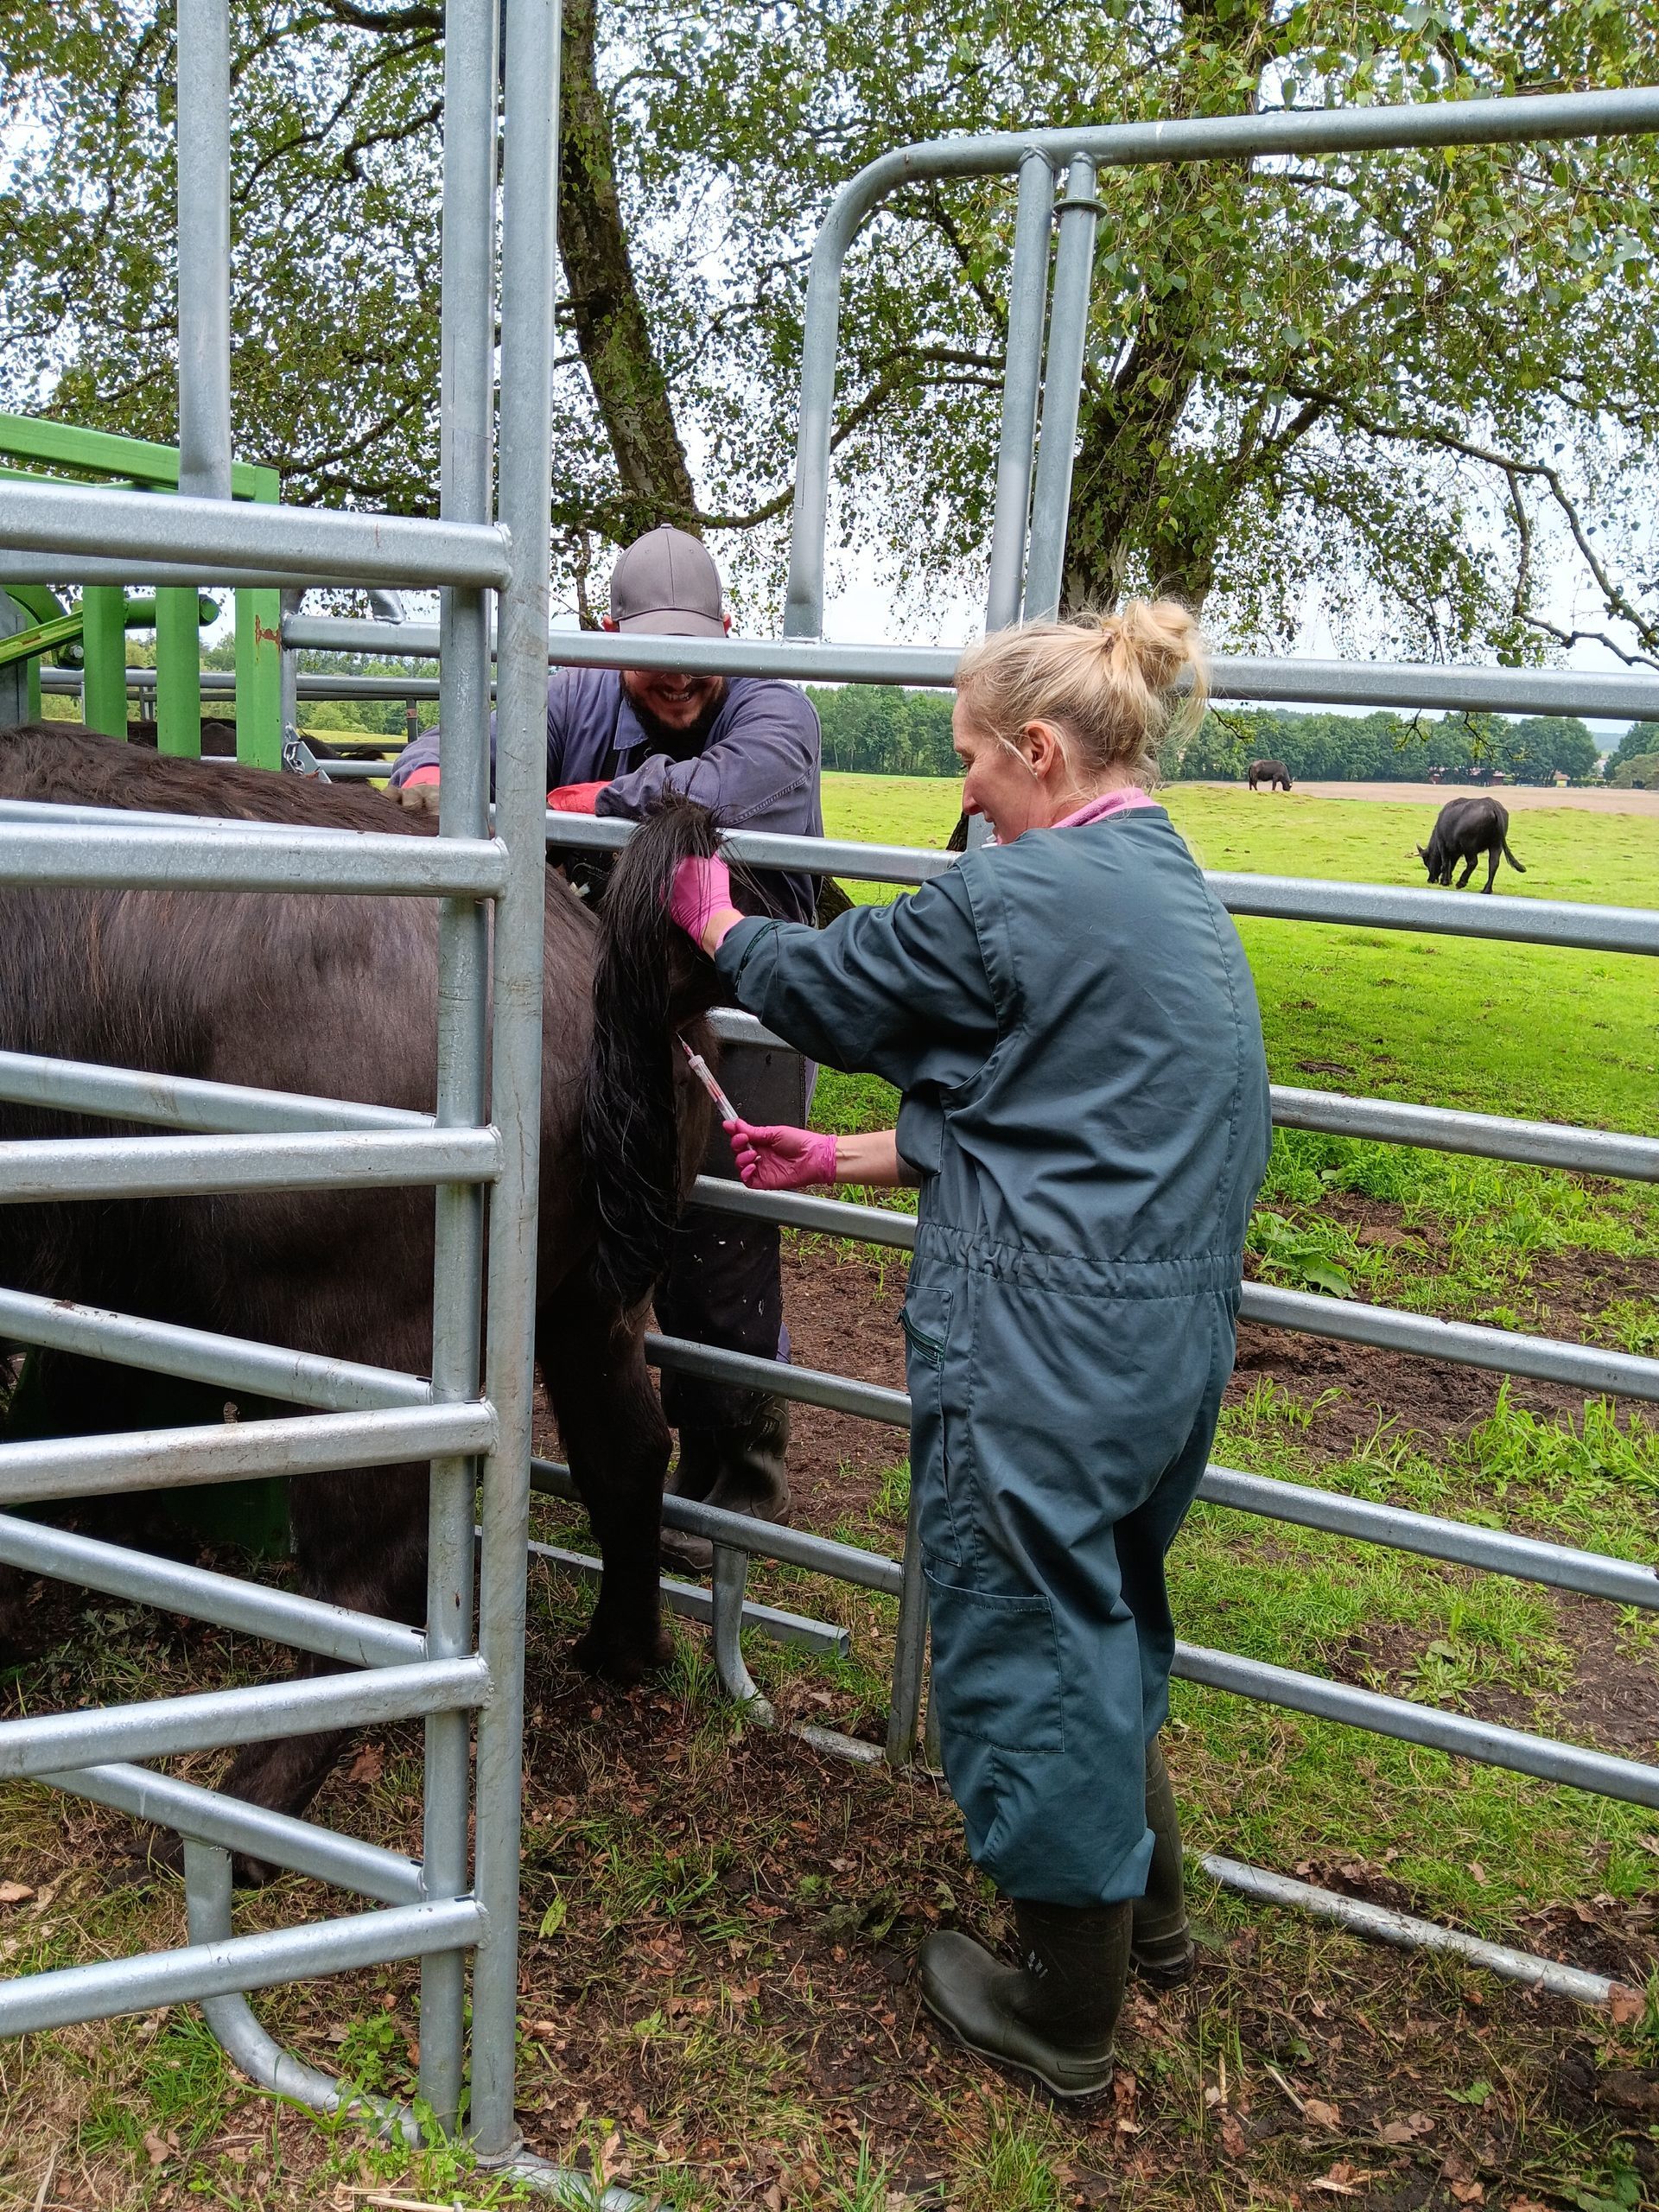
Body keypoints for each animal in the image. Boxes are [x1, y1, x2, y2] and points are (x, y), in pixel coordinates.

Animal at [0, 722, 720, 1866]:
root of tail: (579, 965)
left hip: (355, 1339)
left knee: (369, 1576)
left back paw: (240, 1819)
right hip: (593, 1302)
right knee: (630, 1451)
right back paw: (618, 1651)